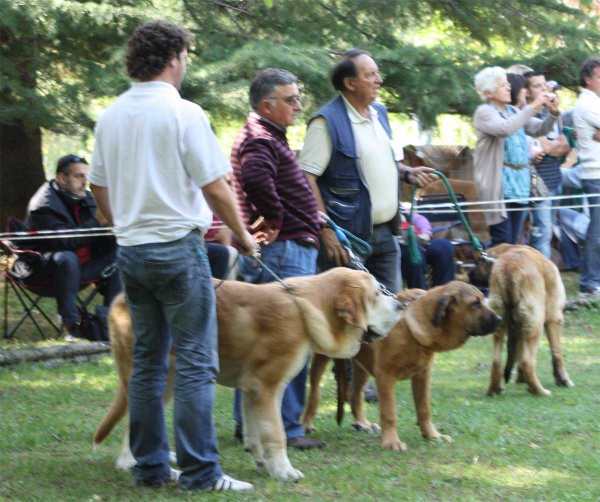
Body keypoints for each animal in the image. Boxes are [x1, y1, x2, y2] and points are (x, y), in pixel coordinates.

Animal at [94, 268, 404, 480]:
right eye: (376, 295)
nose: (401, 305)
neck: (306, 308)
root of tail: (119, 298)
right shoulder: (265, 386)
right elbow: (276, 433)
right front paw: (284, 471)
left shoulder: (253, 389)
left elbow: (255, 432)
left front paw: (263, 463)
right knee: (131, 423)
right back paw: (129, 463)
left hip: (168, 380)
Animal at [300, 282, 502, 452]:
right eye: (475, 304)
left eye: (482, 300)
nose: (500, 319)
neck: (412, 327)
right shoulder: (385, 376)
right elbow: (389, 413)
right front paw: (392, 442)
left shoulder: (423, 375)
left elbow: (424, 409)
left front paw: (432, 435)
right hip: (321, 358)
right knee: (314, 393)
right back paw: (306, 424)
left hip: (363, 365)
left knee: (355, 393)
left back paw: (363, 423)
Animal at [468, 244, 572, 396]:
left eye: (480, 262)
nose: (468, 274)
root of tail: (510, 271)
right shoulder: (555, 318)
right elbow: (557, 353)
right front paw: (564, 380)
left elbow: (518, 350)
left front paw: (520, 379)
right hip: (535, 326)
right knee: (527, 361)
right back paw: (539, 391)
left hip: (499, 324)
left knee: (497, 361)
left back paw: (495, 389)